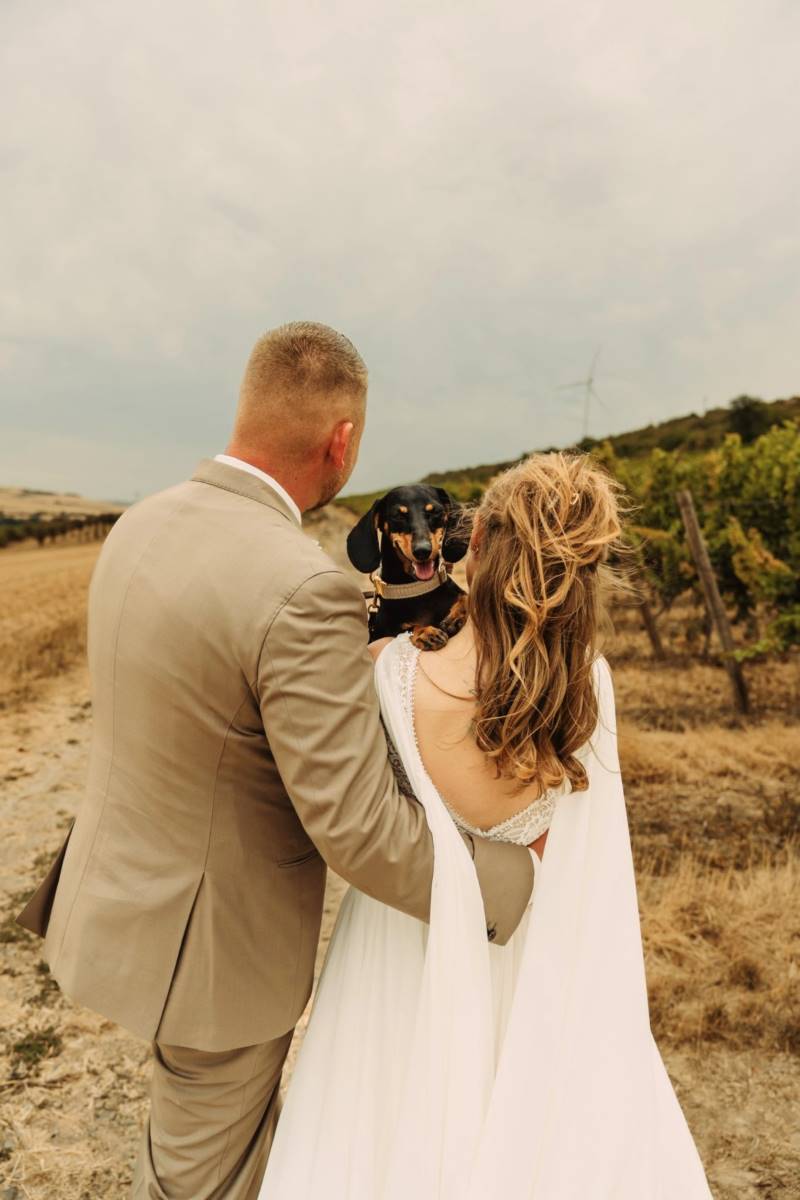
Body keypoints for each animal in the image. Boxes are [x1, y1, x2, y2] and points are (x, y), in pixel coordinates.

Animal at [346, 485, 470, 649]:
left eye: (434, 511)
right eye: (398, 516)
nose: (422, 551)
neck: (417, 588)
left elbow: (466, 596)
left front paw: (455, 617)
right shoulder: (389, 630)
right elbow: (408, 627)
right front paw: (425, 632)